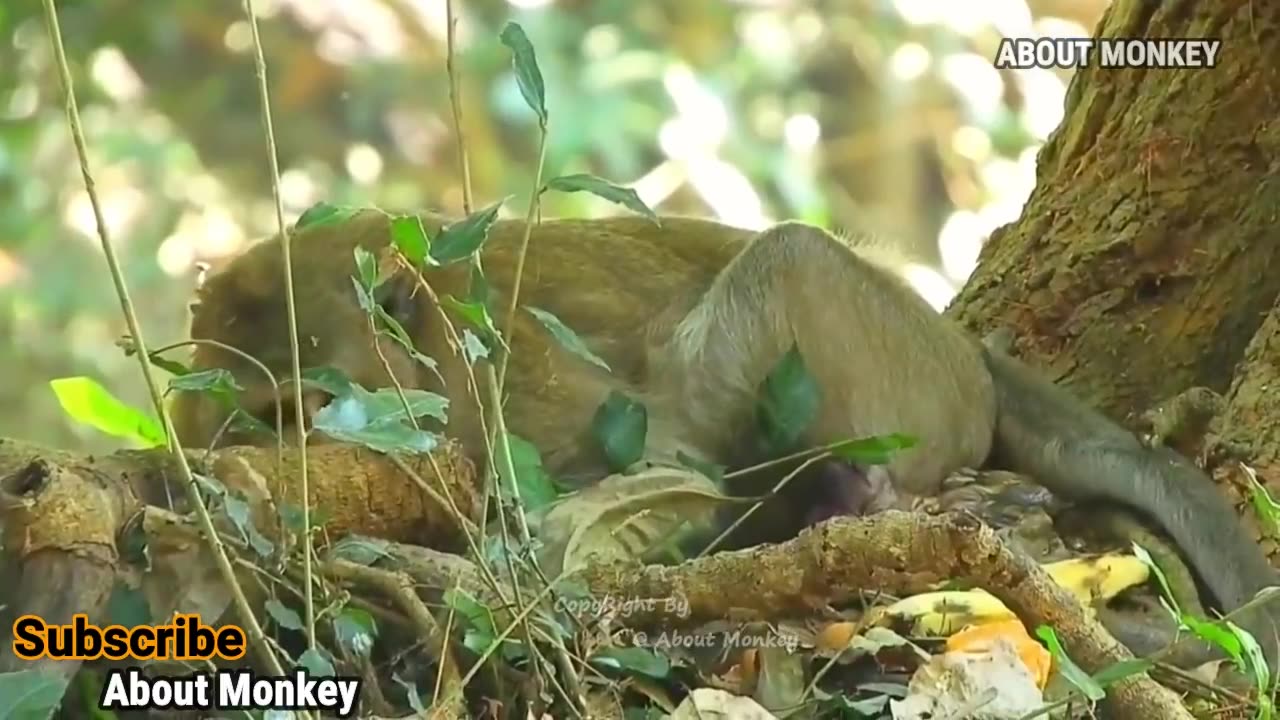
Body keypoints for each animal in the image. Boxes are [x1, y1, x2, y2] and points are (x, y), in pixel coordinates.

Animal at [172, 207, 1280, 666]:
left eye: (297, 408)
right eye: (247, 412)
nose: (262, 446)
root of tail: (958, 345)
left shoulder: (515, 384)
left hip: (880, 353)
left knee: (780, 268)